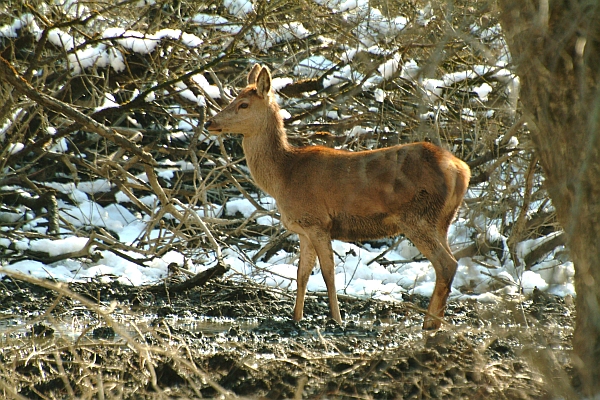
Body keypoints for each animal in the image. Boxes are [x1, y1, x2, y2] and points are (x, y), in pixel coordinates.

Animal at [204, 64, 472, 330]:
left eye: (244, 104)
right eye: (233, 98)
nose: (209, 122)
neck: (283, 175)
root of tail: (463, 169)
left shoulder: (317, 222)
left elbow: (328, 272)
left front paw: (336, 318)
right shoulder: (303, 228)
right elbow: (302, 274)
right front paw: (296, 318)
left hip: (418, 216)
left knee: (447, 264)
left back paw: (430, 324)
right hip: (441, 220)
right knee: (448, 261)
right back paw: (433, 320)